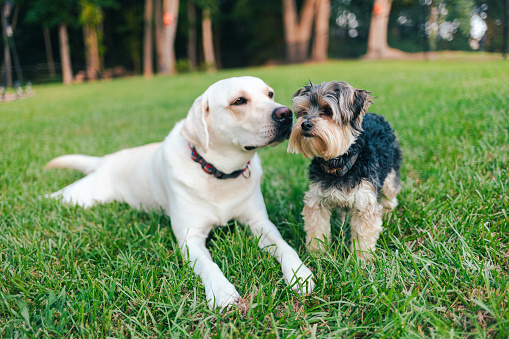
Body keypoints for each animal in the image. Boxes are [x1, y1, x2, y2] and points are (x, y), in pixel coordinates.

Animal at [48, 77, 318, 310]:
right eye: (239, 101)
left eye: (269, 94)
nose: (286, 113)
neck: (218, 173)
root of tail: (106, 159)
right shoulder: (190, 239)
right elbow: (209, 265)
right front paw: (221, 291)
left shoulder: (260, 223)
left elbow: (285, 247)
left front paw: (299, 274)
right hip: (80, 197)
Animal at [286, 80, 400, 260]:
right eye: (303, 112)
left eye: (327, 110)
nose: (304, 124)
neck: (339, 163)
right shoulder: (317, 199)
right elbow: (317, 228)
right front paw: (318, 255)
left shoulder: (365, 202)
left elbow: (363, 235)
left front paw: (361, 260)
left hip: (390, 173)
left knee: (389, 196)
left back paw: (389, 215)